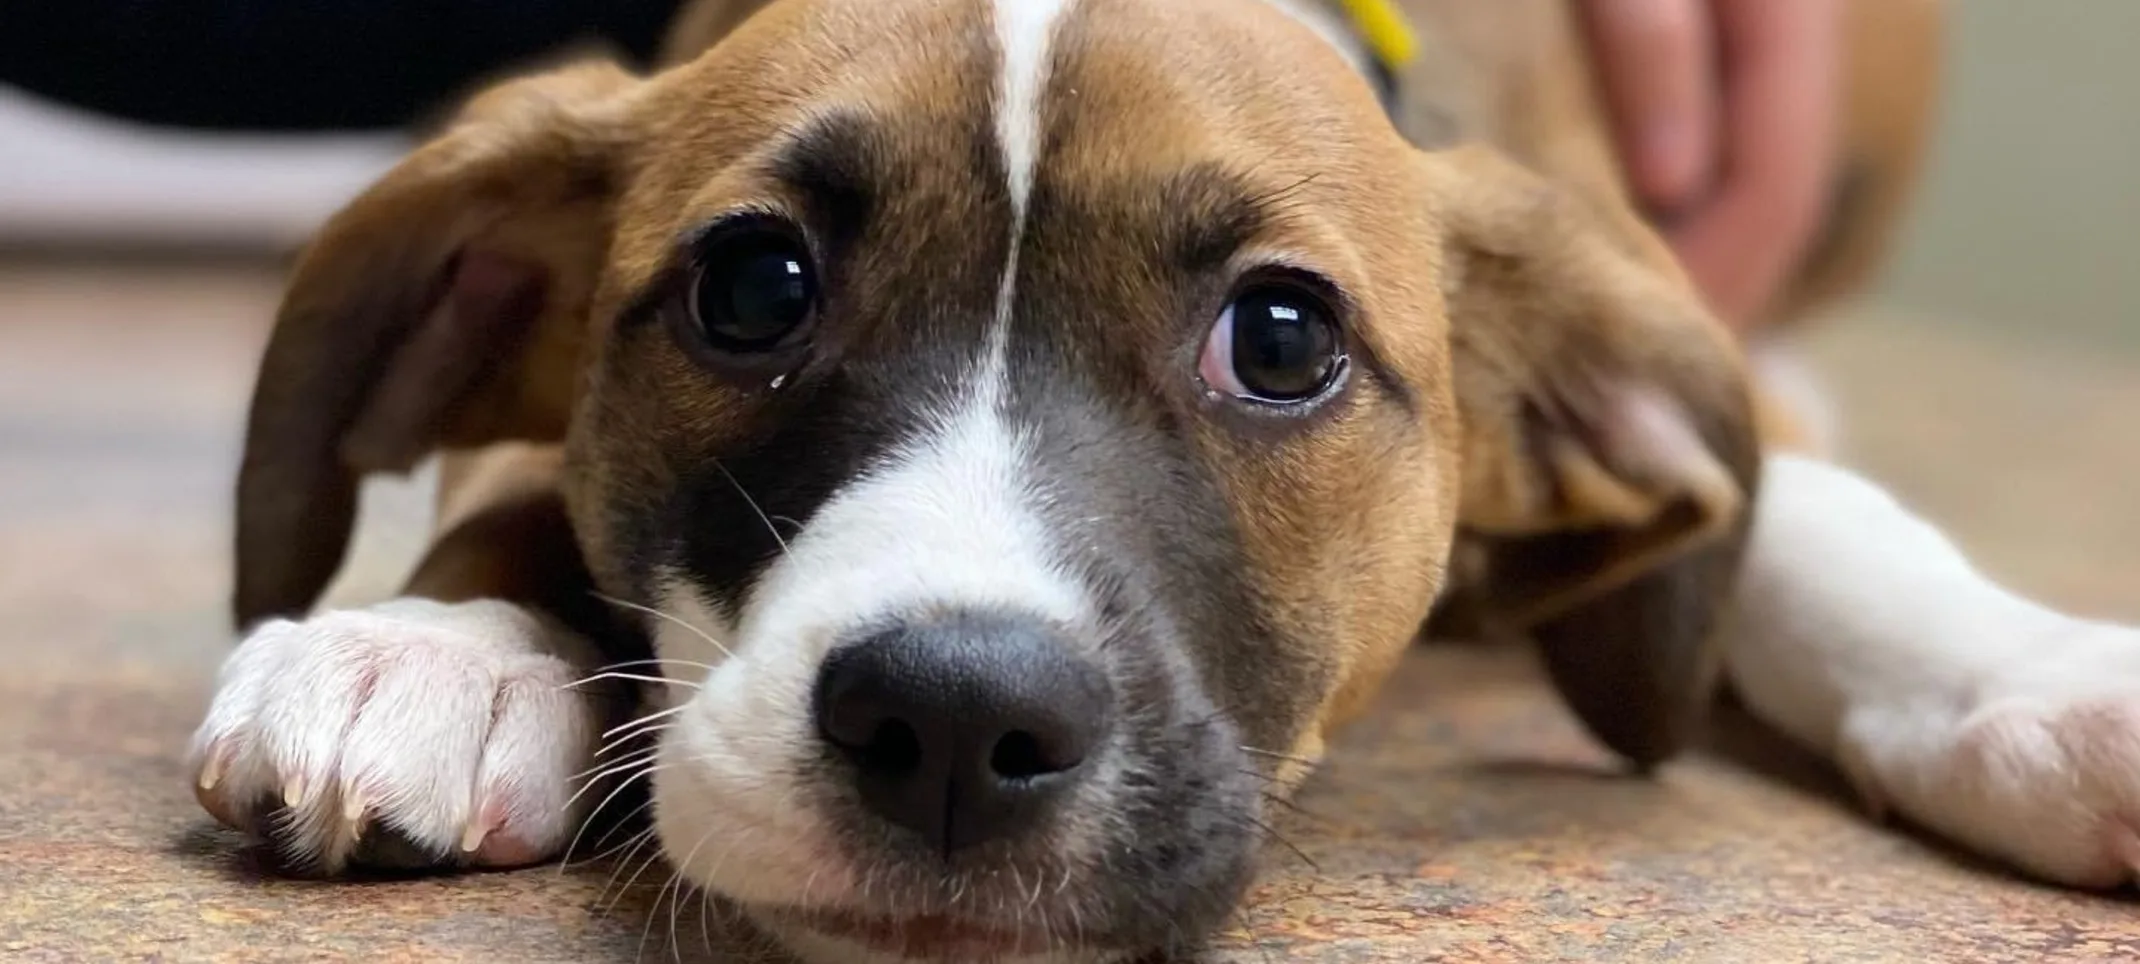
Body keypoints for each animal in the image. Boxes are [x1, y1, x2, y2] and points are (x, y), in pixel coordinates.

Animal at [188, 1, 2140, 964]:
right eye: (751, 289)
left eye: (1280, 336)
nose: (949, 724)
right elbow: (523, 470)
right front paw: (433, 646)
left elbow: (1810, 511)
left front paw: (2031, 682)